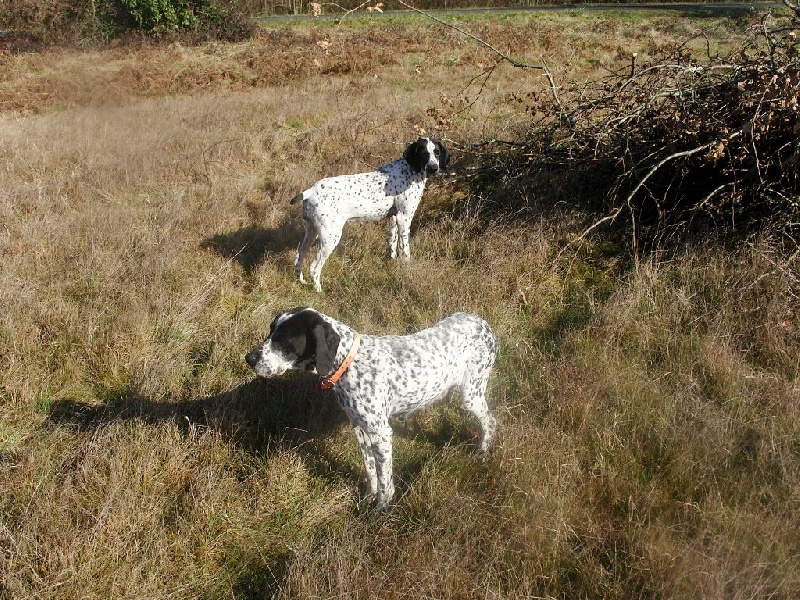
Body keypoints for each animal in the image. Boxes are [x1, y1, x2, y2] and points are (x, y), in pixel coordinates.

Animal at [244, 310, 496, 510]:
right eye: (270, 331)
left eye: (283, 340)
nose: (248, 358)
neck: (349, 362)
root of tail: (483, 323)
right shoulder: (360, 429)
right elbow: (370, 469)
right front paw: (368, 496)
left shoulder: (380, 433)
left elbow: (385, 479)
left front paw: (382, 507)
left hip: (471, 395)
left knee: (490, 421)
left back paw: (482, 453)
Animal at [290, 138, 450, 292]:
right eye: (423, 153)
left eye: (436, 152)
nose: (434, 168)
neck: (410, 170)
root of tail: (310, 191)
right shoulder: (404, 218)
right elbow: (405, 250)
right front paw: (407, 269)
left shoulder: (393, 219)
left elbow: (392, 244)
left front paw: (392, 262)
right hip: (331, 236)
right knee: (314, 266)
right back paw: (318, 289)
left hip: (312, 231)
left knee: (299, 256)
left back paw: (301, 281)